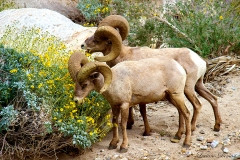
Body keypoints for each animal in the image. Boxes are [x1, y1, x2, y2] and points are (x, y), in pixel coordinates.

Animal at [81, 15, 223, 136]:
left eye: (97, 39)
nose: (83, 45)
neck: (124, 55)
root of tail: (198, 60)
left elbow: (139, 109)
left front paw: (137, 127)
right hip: (198, 86)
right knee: (213, 99)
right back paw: (217, 126)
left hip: (187, 89)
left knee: (197, 105)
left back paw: (192, 129)